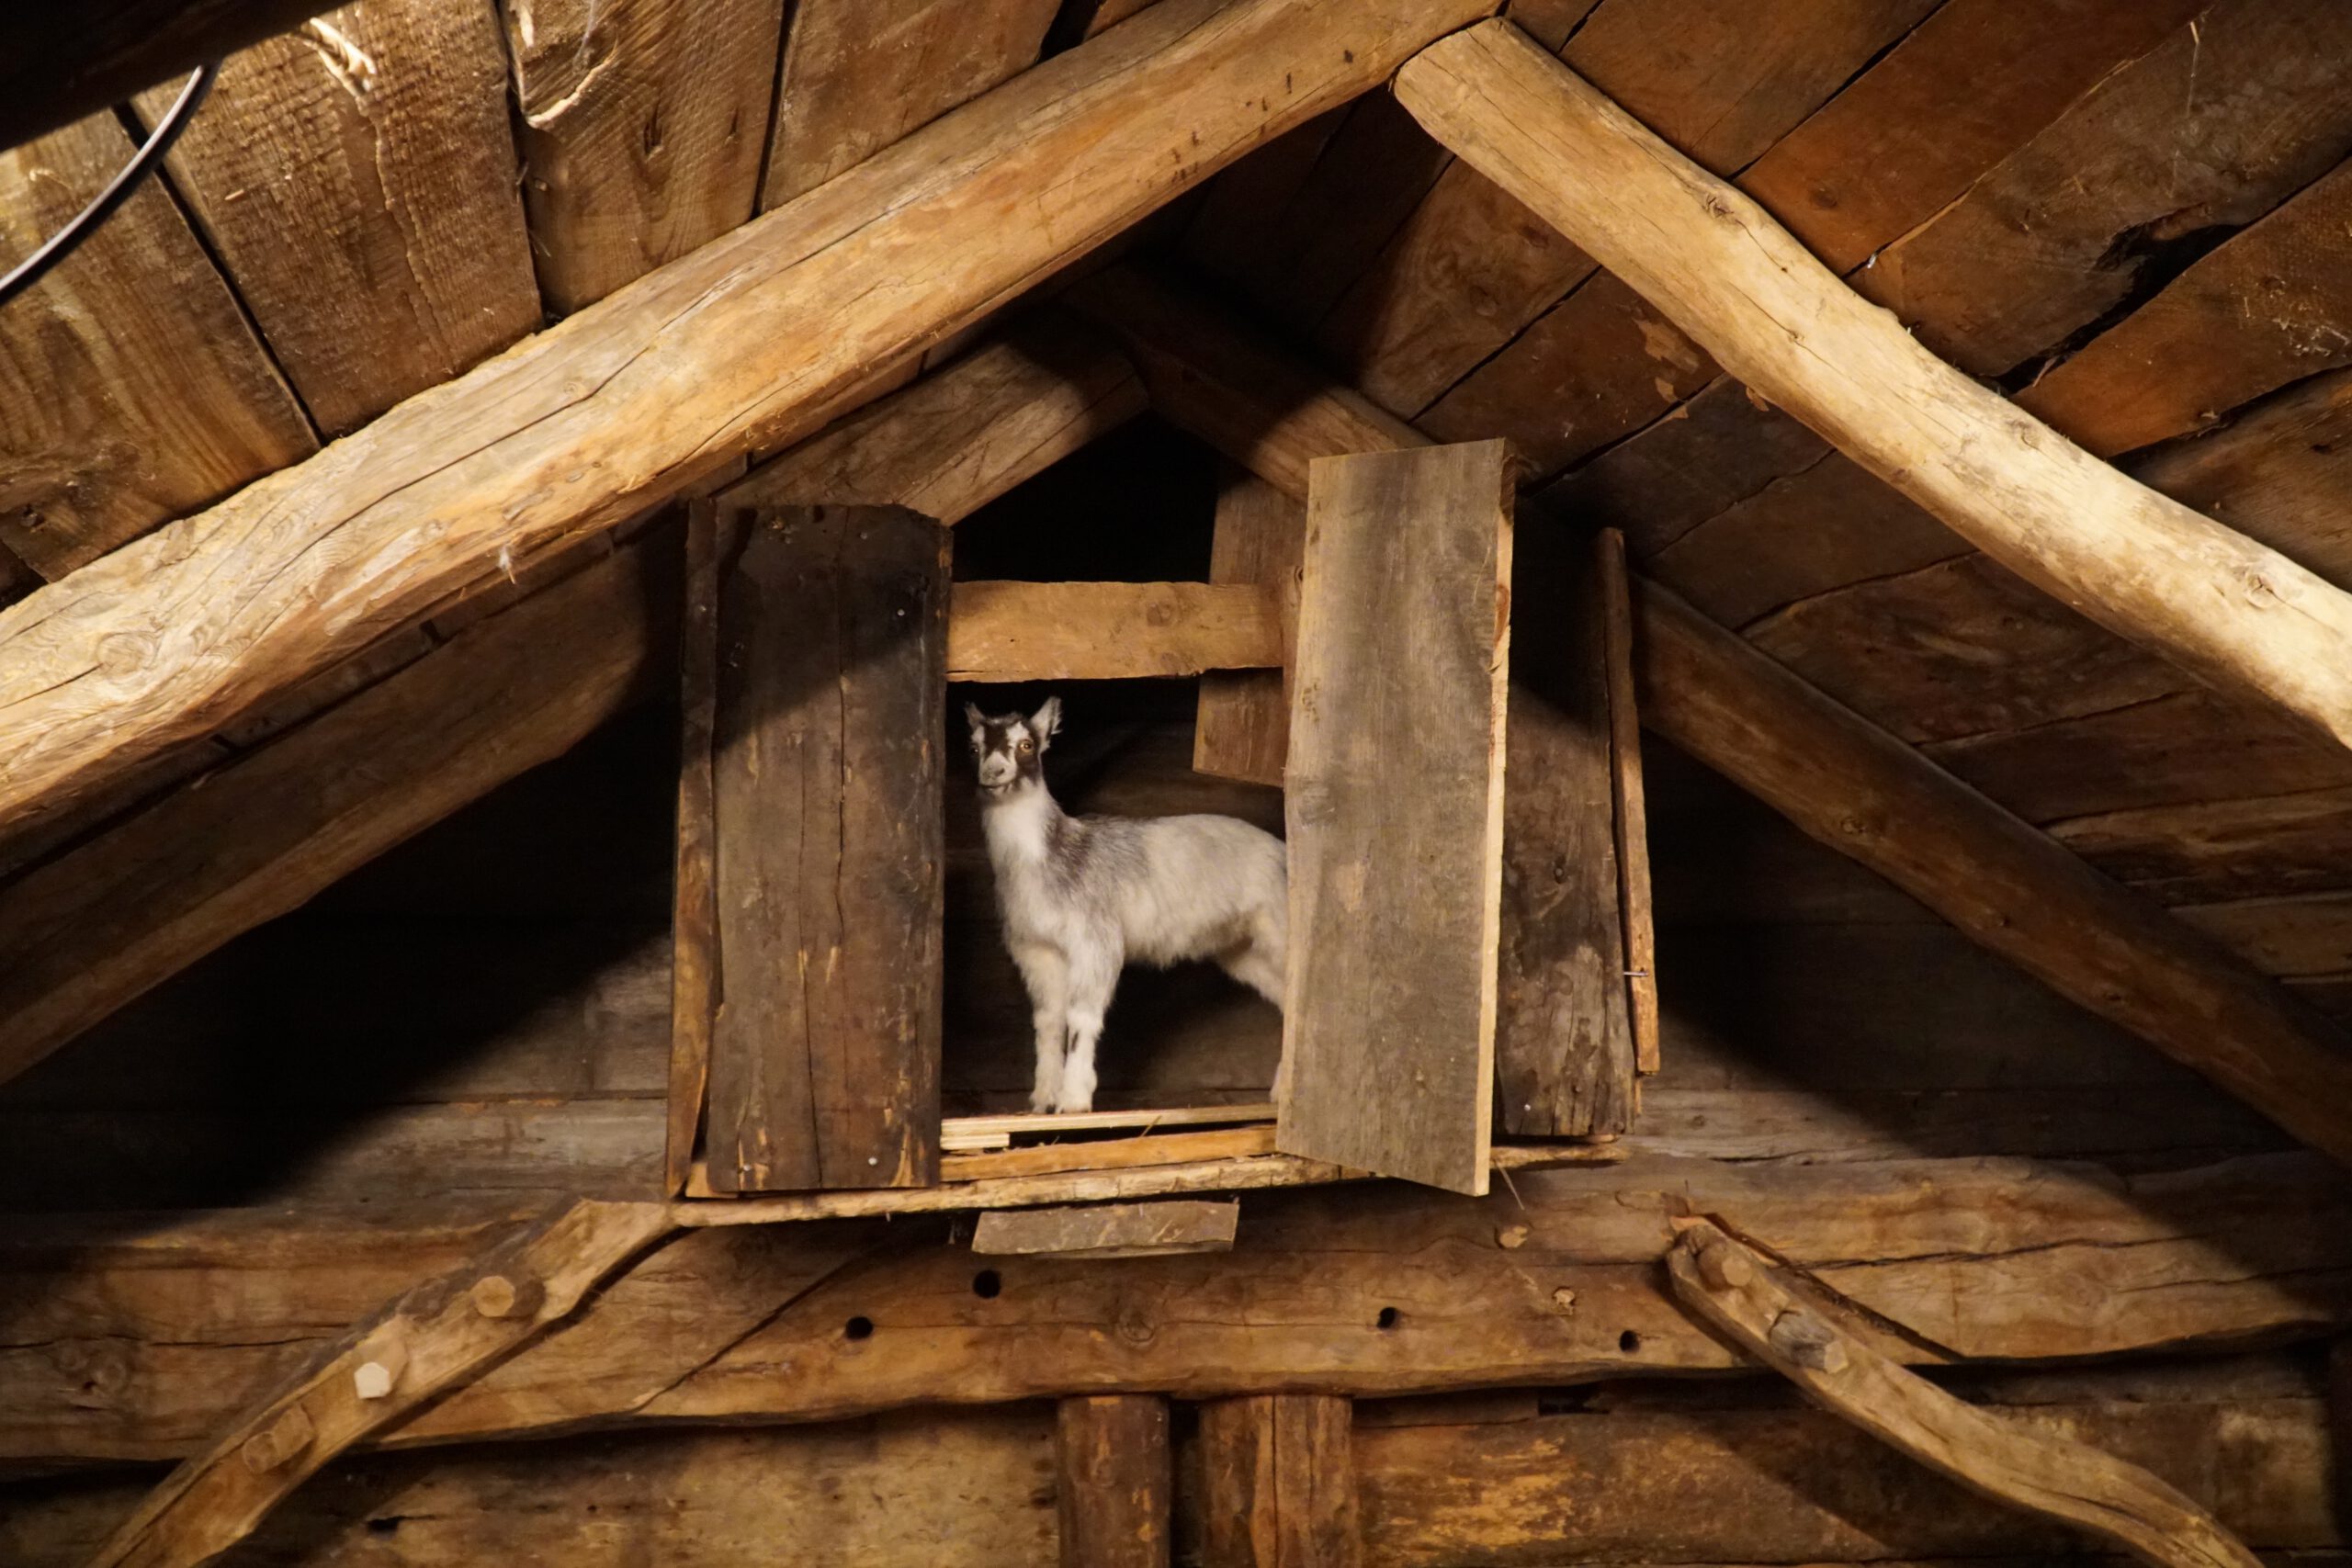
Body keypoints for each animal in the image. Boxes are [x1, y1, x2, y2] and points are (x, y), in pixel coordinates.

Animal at [965, 697, 1288, 1113]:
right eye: (974, 748)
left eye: (1026, 745)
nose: (993, 774)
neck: (1048, 858)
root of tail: (1284, 851)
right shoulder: (1036, 949)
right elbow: (1049, 1019)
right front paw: (1042, 1101)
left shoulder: (1095, 940)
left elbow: (1081, 1017)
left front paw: (1074, 1100)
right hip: (1242, 949)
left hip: (1281, 926)